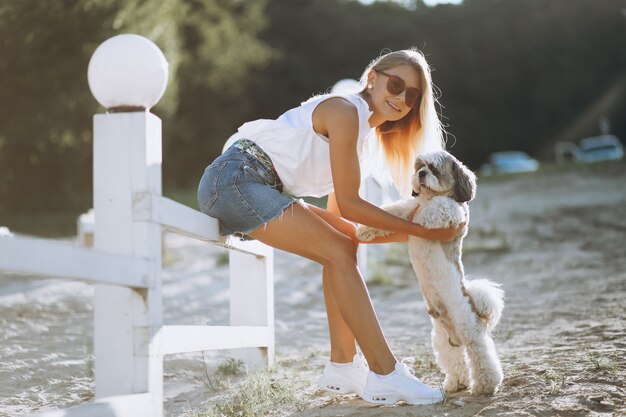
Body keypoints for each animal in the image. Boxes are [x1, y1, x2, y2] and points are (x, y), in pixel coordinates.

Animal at [356, 150, 502, 394]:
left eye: (433, 169)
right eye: (419, 167)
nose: (422, 174)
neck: (429, 197)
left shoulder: (451, 212)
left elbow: (436, 209)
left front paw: (423, 216)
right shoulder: (406, 209)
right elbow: (391, 211)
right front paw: (364, 229)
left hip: (467, 328)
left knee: (480, 352)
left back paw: (485, 385)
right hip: (443, 340)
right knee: (455, 360)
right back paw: (455, 384)